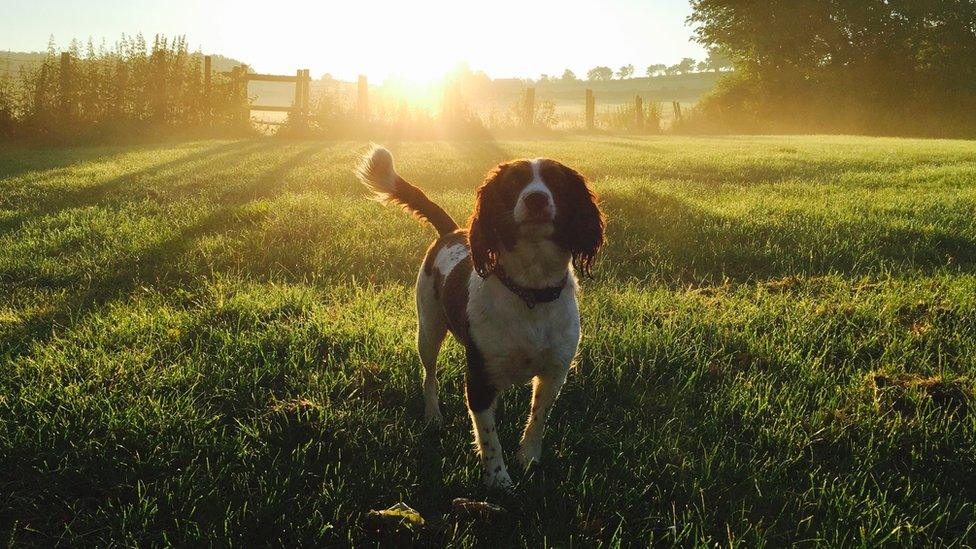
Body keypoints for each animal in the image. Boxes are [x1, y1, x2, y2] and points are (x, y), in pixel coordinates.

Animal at [358, 146, 604, 488]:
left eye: (556, 181)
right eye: (514, 182)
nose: (536, 199)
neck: (529, 292)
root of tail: (452, 231)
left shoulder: (554, 372)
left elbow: (538, 418)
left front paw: (528, 457)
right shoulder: (479, 379)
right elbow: (489, 437)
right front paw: (498, 480)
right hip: (428, 331)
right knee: (429, 376)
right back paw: (433, 416)